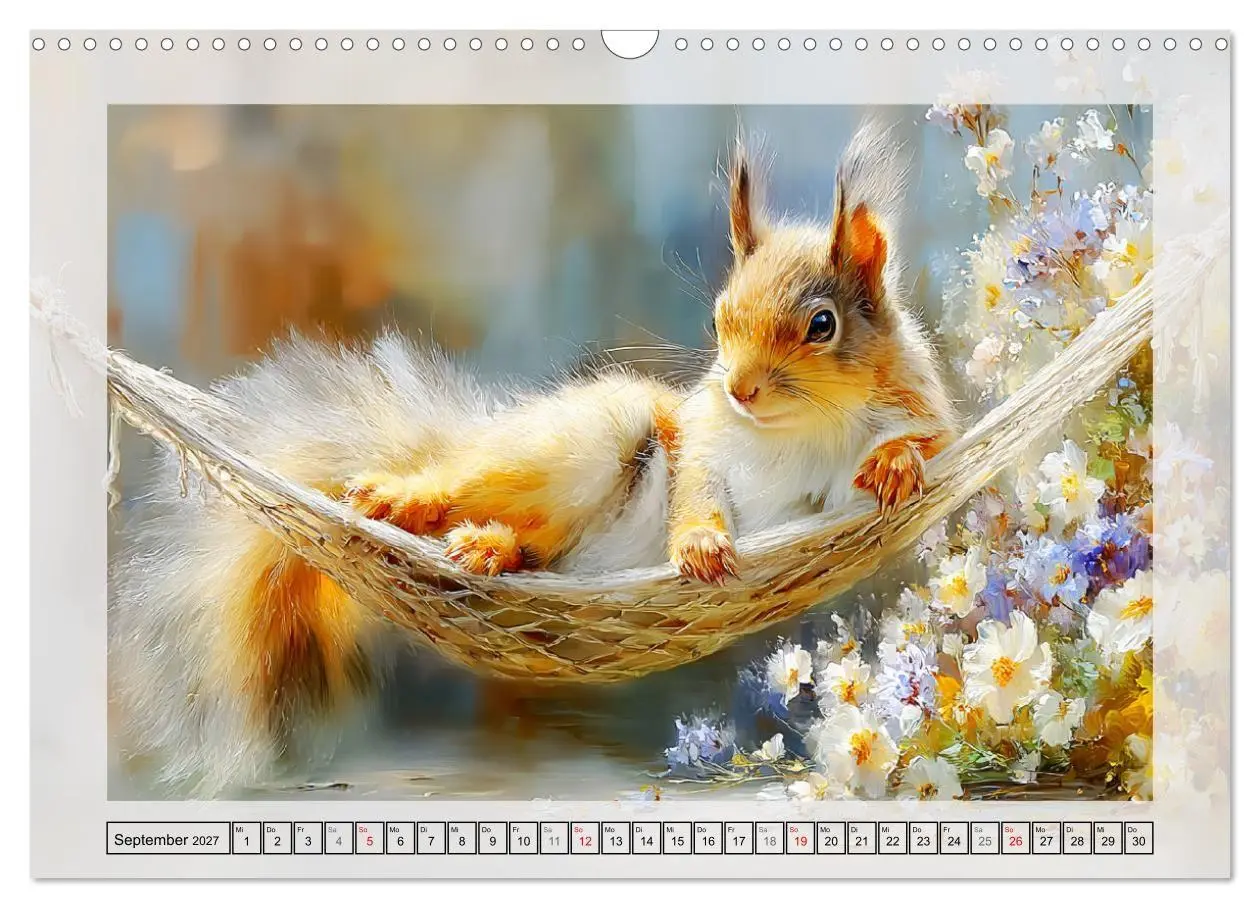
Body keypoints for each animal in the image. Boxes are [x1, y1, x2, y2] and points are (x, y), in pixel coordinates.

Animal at [109, 122, 957, 795]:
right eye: (720, 317)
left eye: (822, 324)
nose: (739, 389)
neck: (799, 428)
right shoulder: (703, 443)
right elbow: (697, 491)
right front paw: (700, 543)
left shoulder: (921, 419)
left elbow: (924, 442)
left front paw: (893, 466)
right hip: (584, 440)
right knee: (464, 488)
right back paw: (404, 502)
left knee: (528, 545)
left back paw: (489, 549)